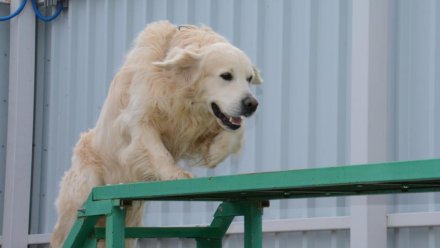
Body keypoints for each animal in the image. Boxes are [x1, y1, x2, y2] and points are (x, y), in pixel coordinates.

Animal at [51, 20, 262, 246]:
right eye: (226, 76)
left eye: (249, 78)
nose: (252, 104)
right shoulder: (138, 118)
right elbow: (156, 149)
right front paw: (176, 174)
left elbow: (236, 131)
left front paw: (214, 152)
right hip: (85, 190)